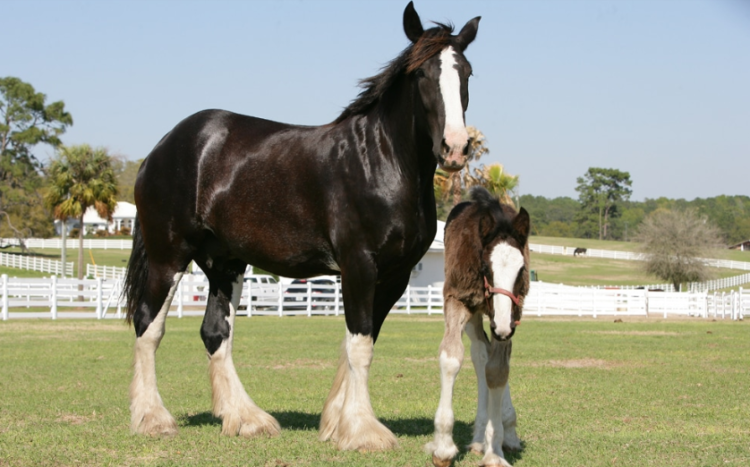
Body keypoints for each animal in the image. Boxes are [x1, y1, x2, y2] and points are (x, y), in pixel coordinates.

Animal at [123, 2, 481, 453]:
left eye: (466, 73)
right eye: (421, 75)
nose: (455, 148)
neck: (380, 162)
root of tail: (163, 147)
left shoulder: (395, 276)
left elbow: (359, 341)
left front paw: (337, 423)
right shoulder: (358, 266)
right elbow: (360, 347)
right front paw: (363, 431)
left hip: (225, 263)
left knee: (215, 333)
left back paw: (246, 419)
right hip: (168, 255)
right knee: (148, 326)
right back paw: (153, 418)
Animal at [427, 186, 530, 467]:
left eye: (521, 269)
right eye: (486, 267)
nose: (503, 326)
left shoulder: (511, 315)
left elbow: (497, 371)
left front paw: (494, 450)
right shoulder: (457, 300)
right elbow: (452, 359)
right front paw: (443, 447)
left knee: (489, 357)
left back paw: (505, 430)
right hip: (475, 316)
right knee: (479, 352)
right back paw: (479, 435)